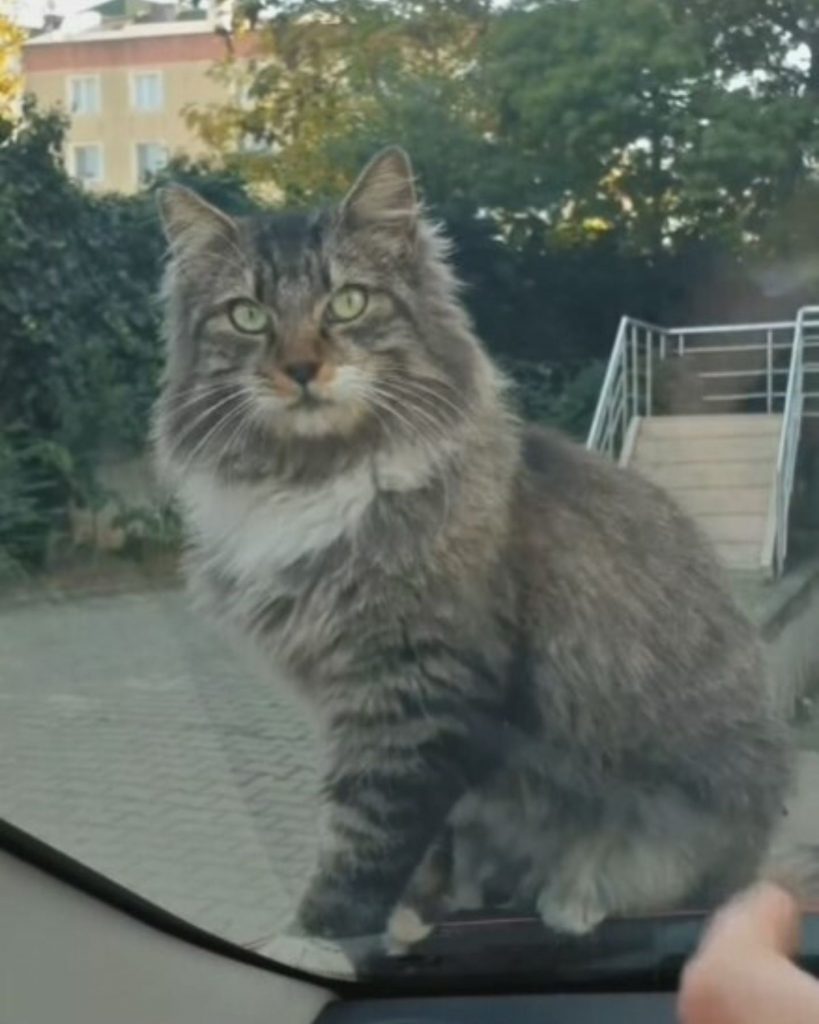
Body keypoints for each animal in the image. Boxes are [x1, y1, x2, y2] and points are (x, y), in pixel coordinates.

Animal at [153, 146, 794, 942]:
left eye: (348, 303)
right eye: (248, 316)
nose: (301, 369)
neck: (313, 480)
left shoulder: (418, 688)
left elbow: (364, 841)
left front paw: (321, 939)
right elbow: (417, 848)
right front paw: (411, 916)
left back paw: (573, 901)